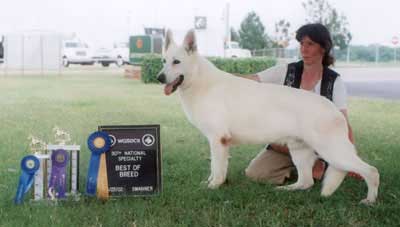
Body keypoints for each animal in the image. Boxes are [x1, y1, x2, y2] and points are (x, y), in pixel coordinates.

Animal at [156, 28, 378, 204]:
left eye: (177, 62)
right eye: (164, 61)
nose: (159, 77)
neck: (200, 82)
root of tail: (334, 109)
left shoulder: (218, 140)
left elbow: (216, 168)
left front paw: (213, 187)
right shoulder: (217, 142)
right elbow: (215, 168)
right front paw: (210, 183)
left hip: (332, 151)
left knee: (371, 171)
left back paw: (370, 200)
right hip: (300, 151)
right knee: (305, 181)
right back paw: (285, 190)